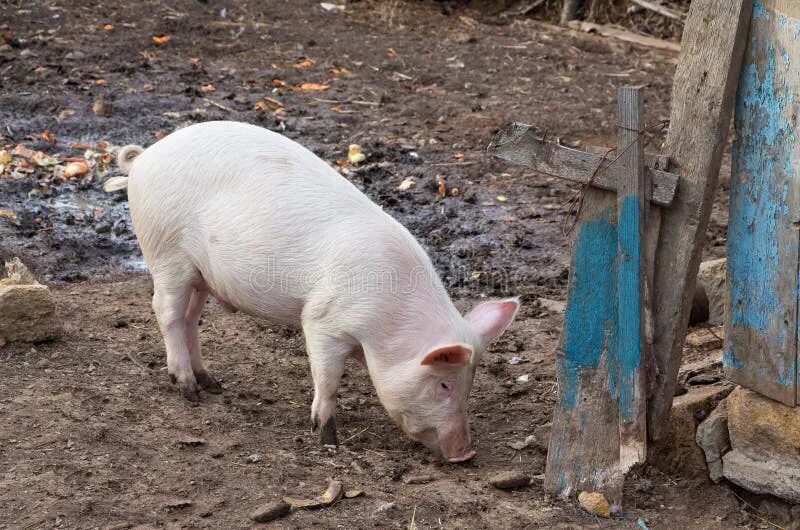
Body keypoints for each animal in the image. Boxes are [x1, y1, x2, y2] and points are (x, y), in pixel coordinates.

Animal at [108, 119, 520, 458]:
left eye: (469, 384)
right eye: (444, 385)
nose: (466, 453)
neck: (386, 327)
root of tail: (145, 158)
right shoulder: (322, 321)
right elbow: (328, 379)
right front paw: (328, 439)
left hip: (201, 273)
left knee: (191, 318)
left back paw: (213, 384)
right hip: (166, 252)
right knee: (166, 310)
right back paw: (188, 389)